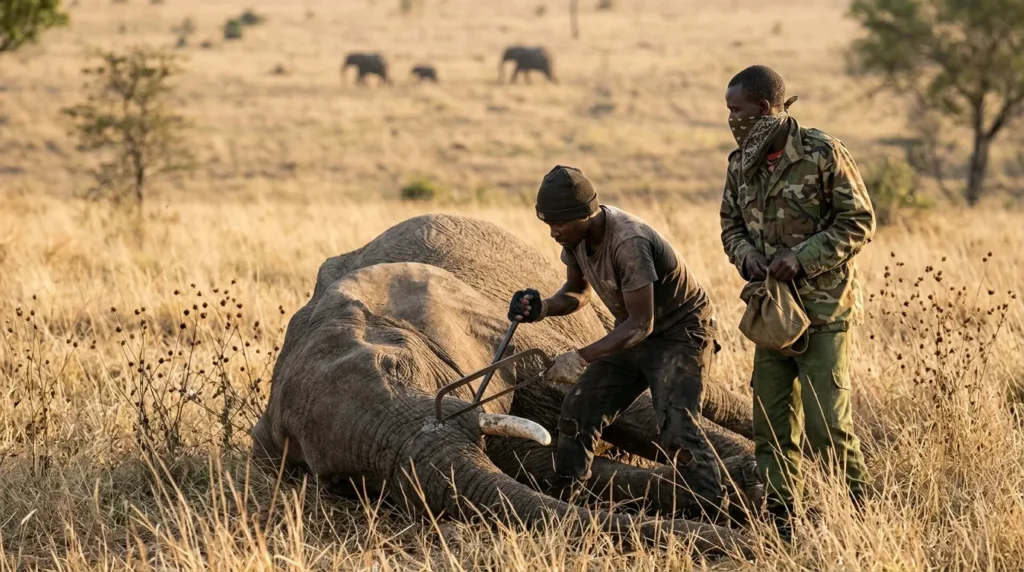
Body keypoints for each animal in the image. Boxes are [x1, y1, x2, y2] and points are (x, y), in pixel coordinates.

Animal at [251, 214, 759, 556]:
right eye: (346, 484)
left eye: (396, 366)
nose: (739, 544)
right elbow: (544, 468)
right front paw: (750, 491)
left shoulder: (510, 338)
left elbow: (627, 411)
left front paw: (760, 480)